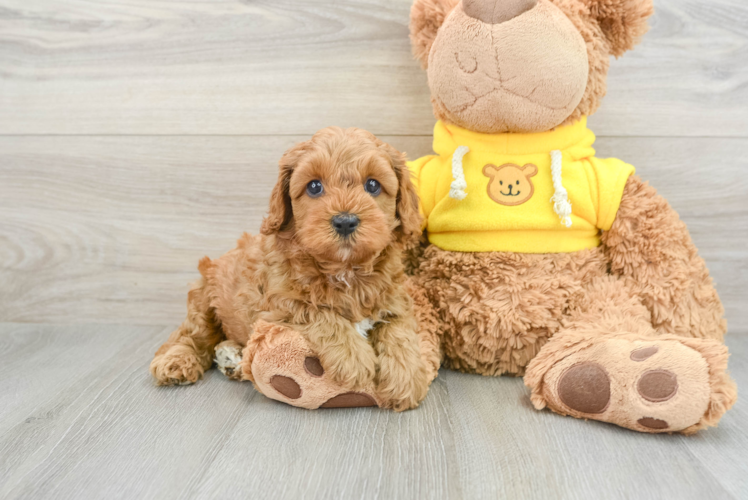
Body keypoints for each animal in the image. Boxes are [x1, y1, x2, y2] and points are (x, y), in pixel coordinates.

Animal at [150, 126, 442, 410]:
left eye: (372, 185)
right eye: (314, 187)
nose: (345, 221)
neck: (344, 269)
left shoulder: (395, 299)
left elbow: (399, 331)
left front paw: (406, 377)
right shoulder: (277, 303)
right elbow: (318, 312)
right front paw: (354, 358)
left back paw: (232, 359)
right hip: (203, 298)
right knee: (190, 335)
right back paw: (176, 362)